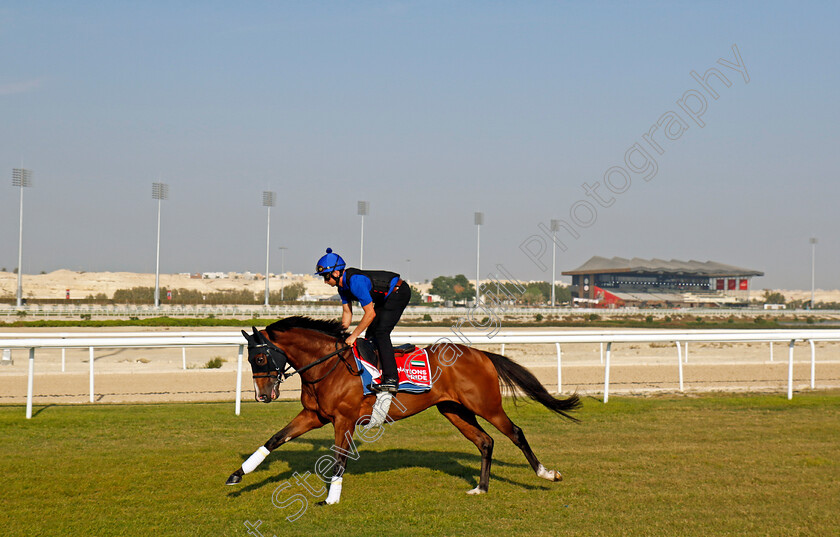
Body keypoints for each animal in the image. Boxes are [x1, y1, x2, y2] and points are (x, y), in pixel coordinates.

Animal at [223, 314, 580, 502]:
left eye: (260, 357)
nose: (262, 395)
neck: (328, 366)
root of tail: (481, 354)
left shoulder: (343, 420)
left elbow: (339, 459)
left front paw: (331, 497)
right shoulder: (315, 416)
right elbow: (274, 440)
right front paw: (238, 474)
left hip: (486, 405)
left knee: (515, 433)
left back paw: (546, 473)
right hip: (454, 410)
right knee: (485, 441)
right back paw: (480, 487)